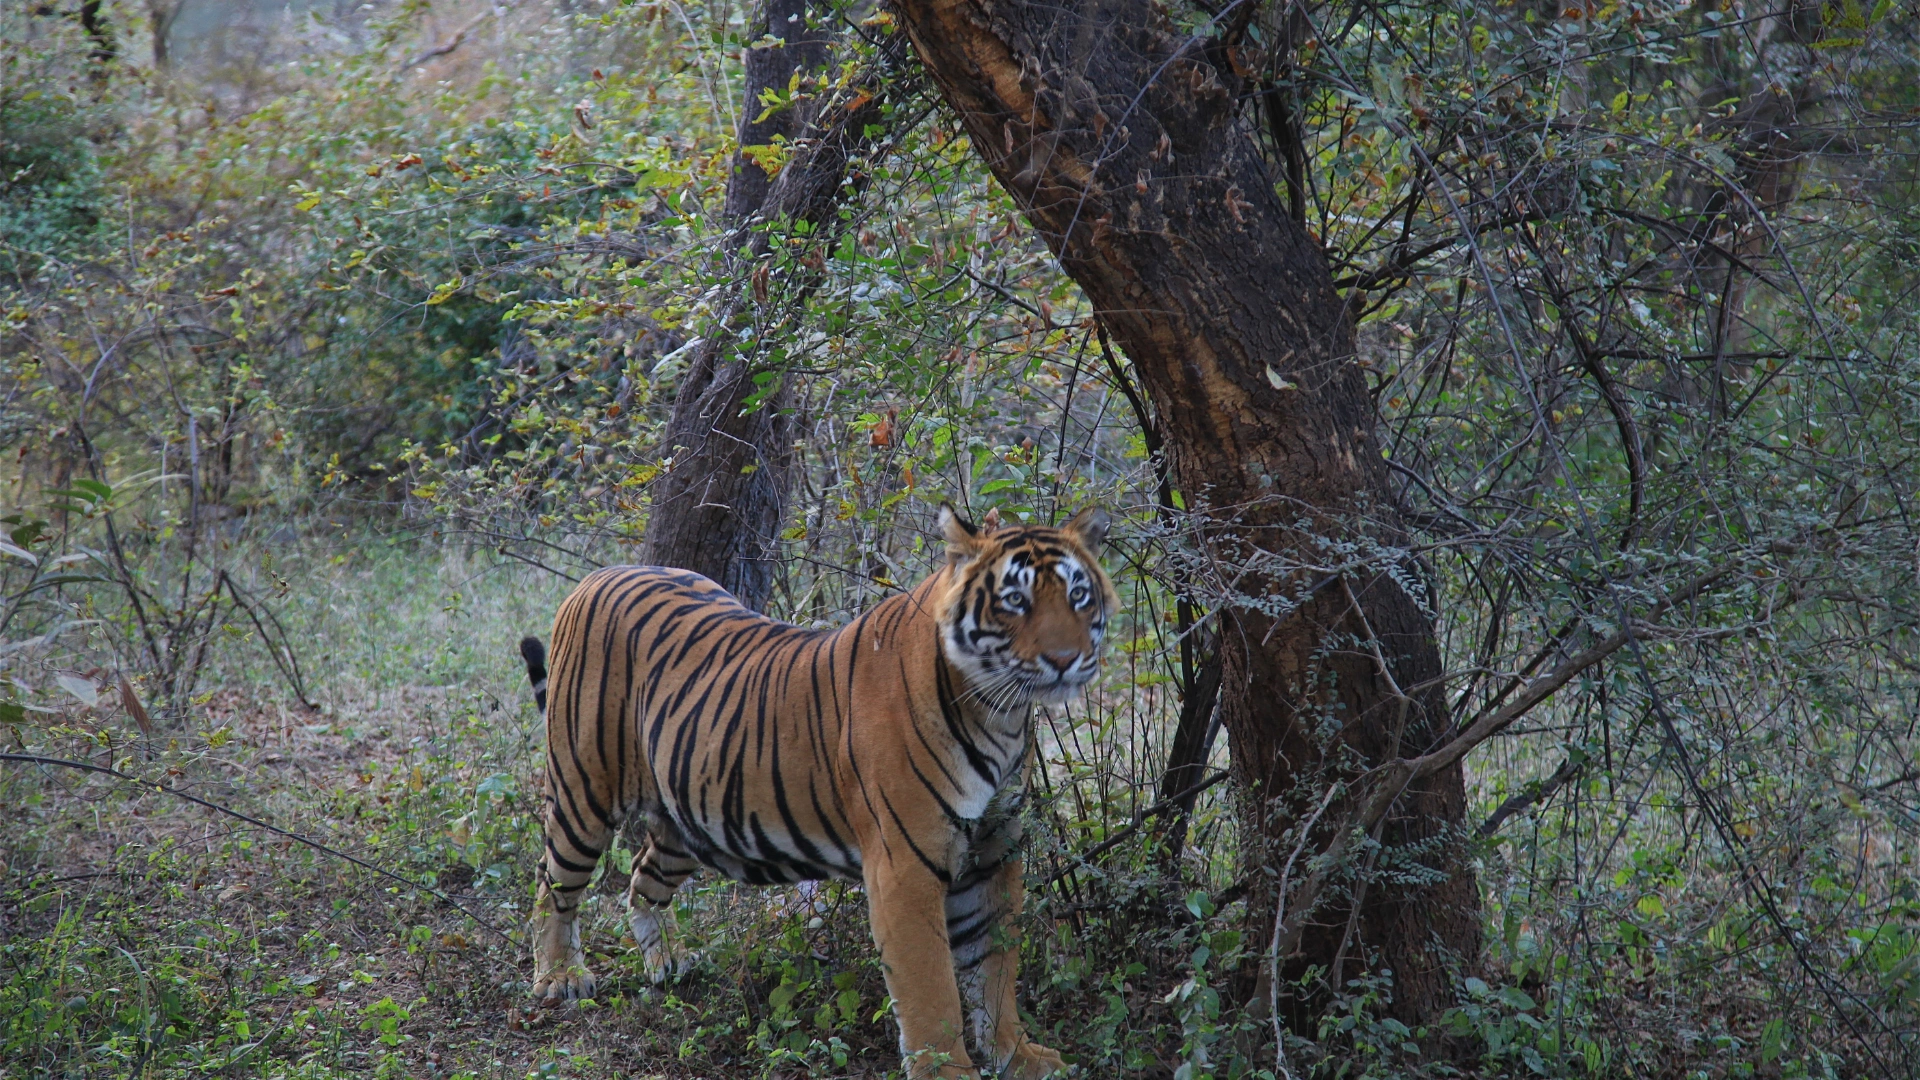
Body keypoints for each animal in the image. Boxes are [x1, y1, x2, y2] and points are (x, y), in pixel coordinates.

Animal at [520, 504, 1115, 1079]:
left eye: (1078, 596)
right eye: (1015, 601)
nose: (1065, 659)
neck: (999, 712)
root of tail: (599, 575)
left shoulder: (994, 855)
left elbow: (994, 973)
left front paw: (1018, 1058)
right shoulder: (906, 870)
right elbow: (934, 991)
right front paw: (950, 1072)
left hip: (689, 812)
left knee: (643, 880)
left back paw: (669, 961)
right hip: (583, 790)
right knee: (551, 883)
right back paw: (560, 978)